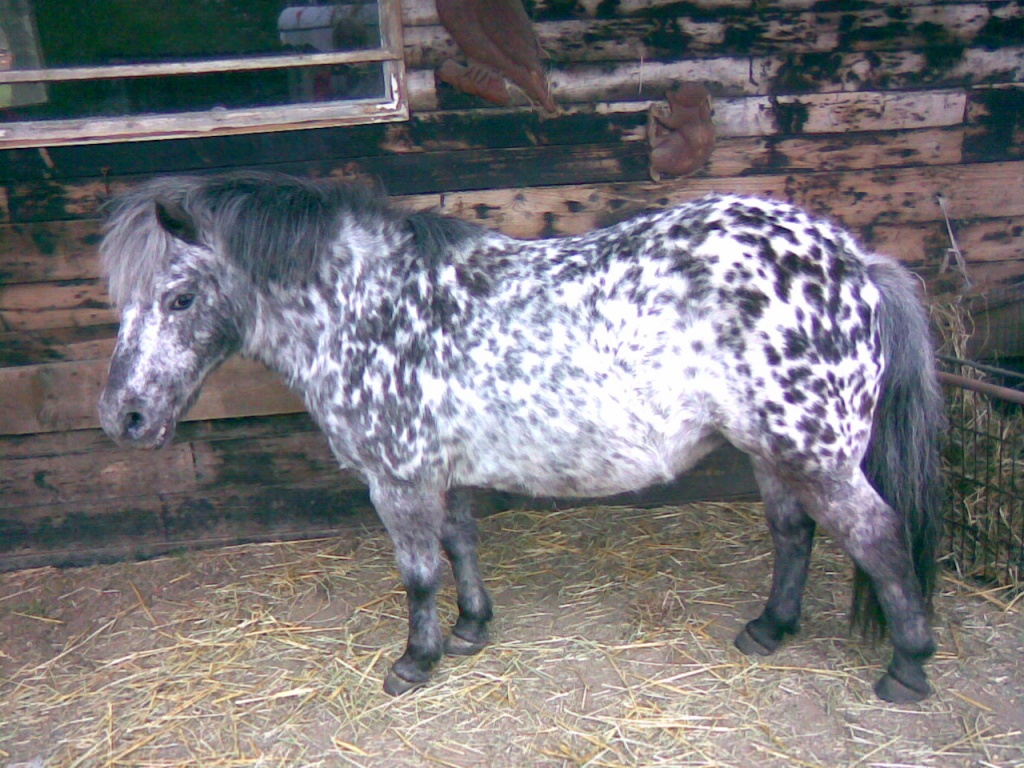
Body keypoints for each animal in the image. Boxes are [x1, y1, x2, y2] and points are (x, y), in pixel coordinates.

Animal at [97, 171, 944, 703]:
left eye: (178, 298)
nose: (121, 417)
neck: (368, 306)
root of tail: (855, 260)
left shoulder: (398, 481)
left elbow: (418, 573)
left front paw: (417, 661)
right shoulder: (442, 473)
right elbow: (462, 544)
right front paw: (472, 627)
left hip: (816, 453)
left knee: (878, 534)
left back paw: (907, 668)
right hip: (776, 452)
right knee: (793, 532)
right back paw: (769, 630)